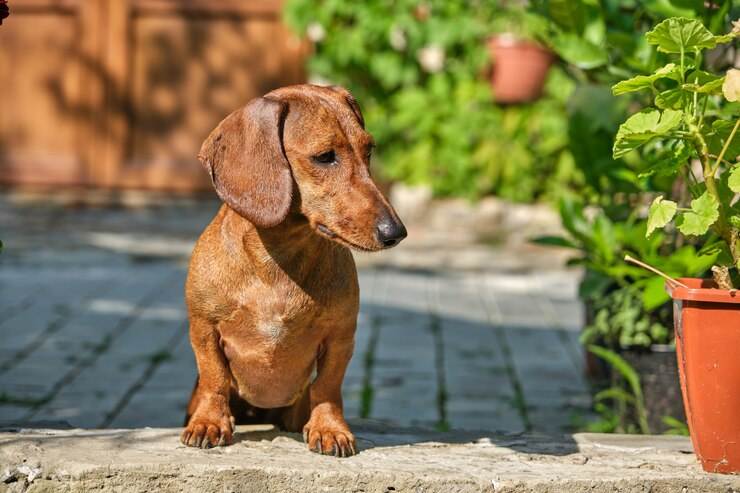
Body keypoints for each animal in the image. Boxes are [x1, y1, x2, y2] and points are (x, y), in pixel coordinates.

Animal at [182, 85, 408, 458]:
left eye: (369, 150)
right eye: (325, 156)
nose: (396, 232)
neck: (277, 264)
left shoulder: (340, 336)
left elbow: (328, 387)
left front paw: (330, 429)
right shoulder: (204, 328)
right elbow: (214, 377)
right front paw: (209, 422)